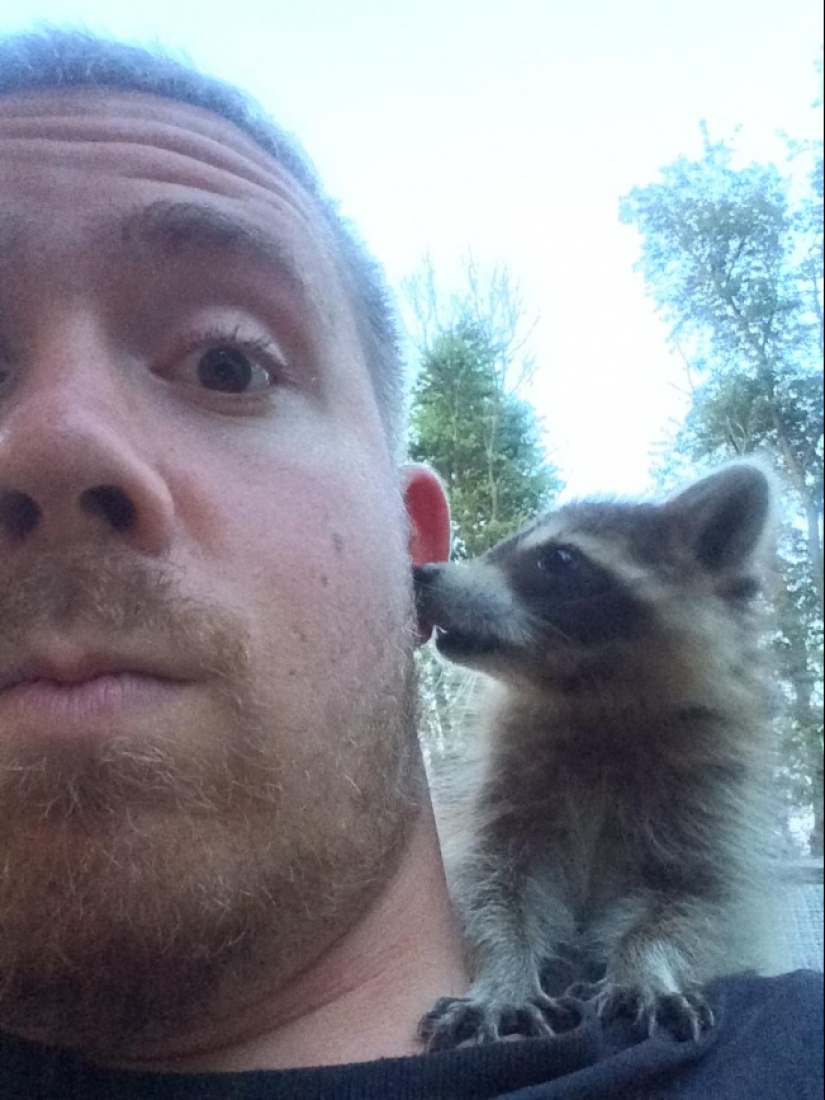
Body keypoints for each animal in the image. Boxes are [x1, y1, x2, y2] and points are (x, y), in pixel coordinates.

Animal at [414, 463, 786, 1051]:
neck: (592, 699)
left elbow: (697, 902)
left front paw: (645, 962)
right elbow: (493, 886)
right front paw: (505, 971)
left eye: (559, 559)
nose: (423, 576)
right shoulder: (508, 783)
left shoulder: (710, 792)